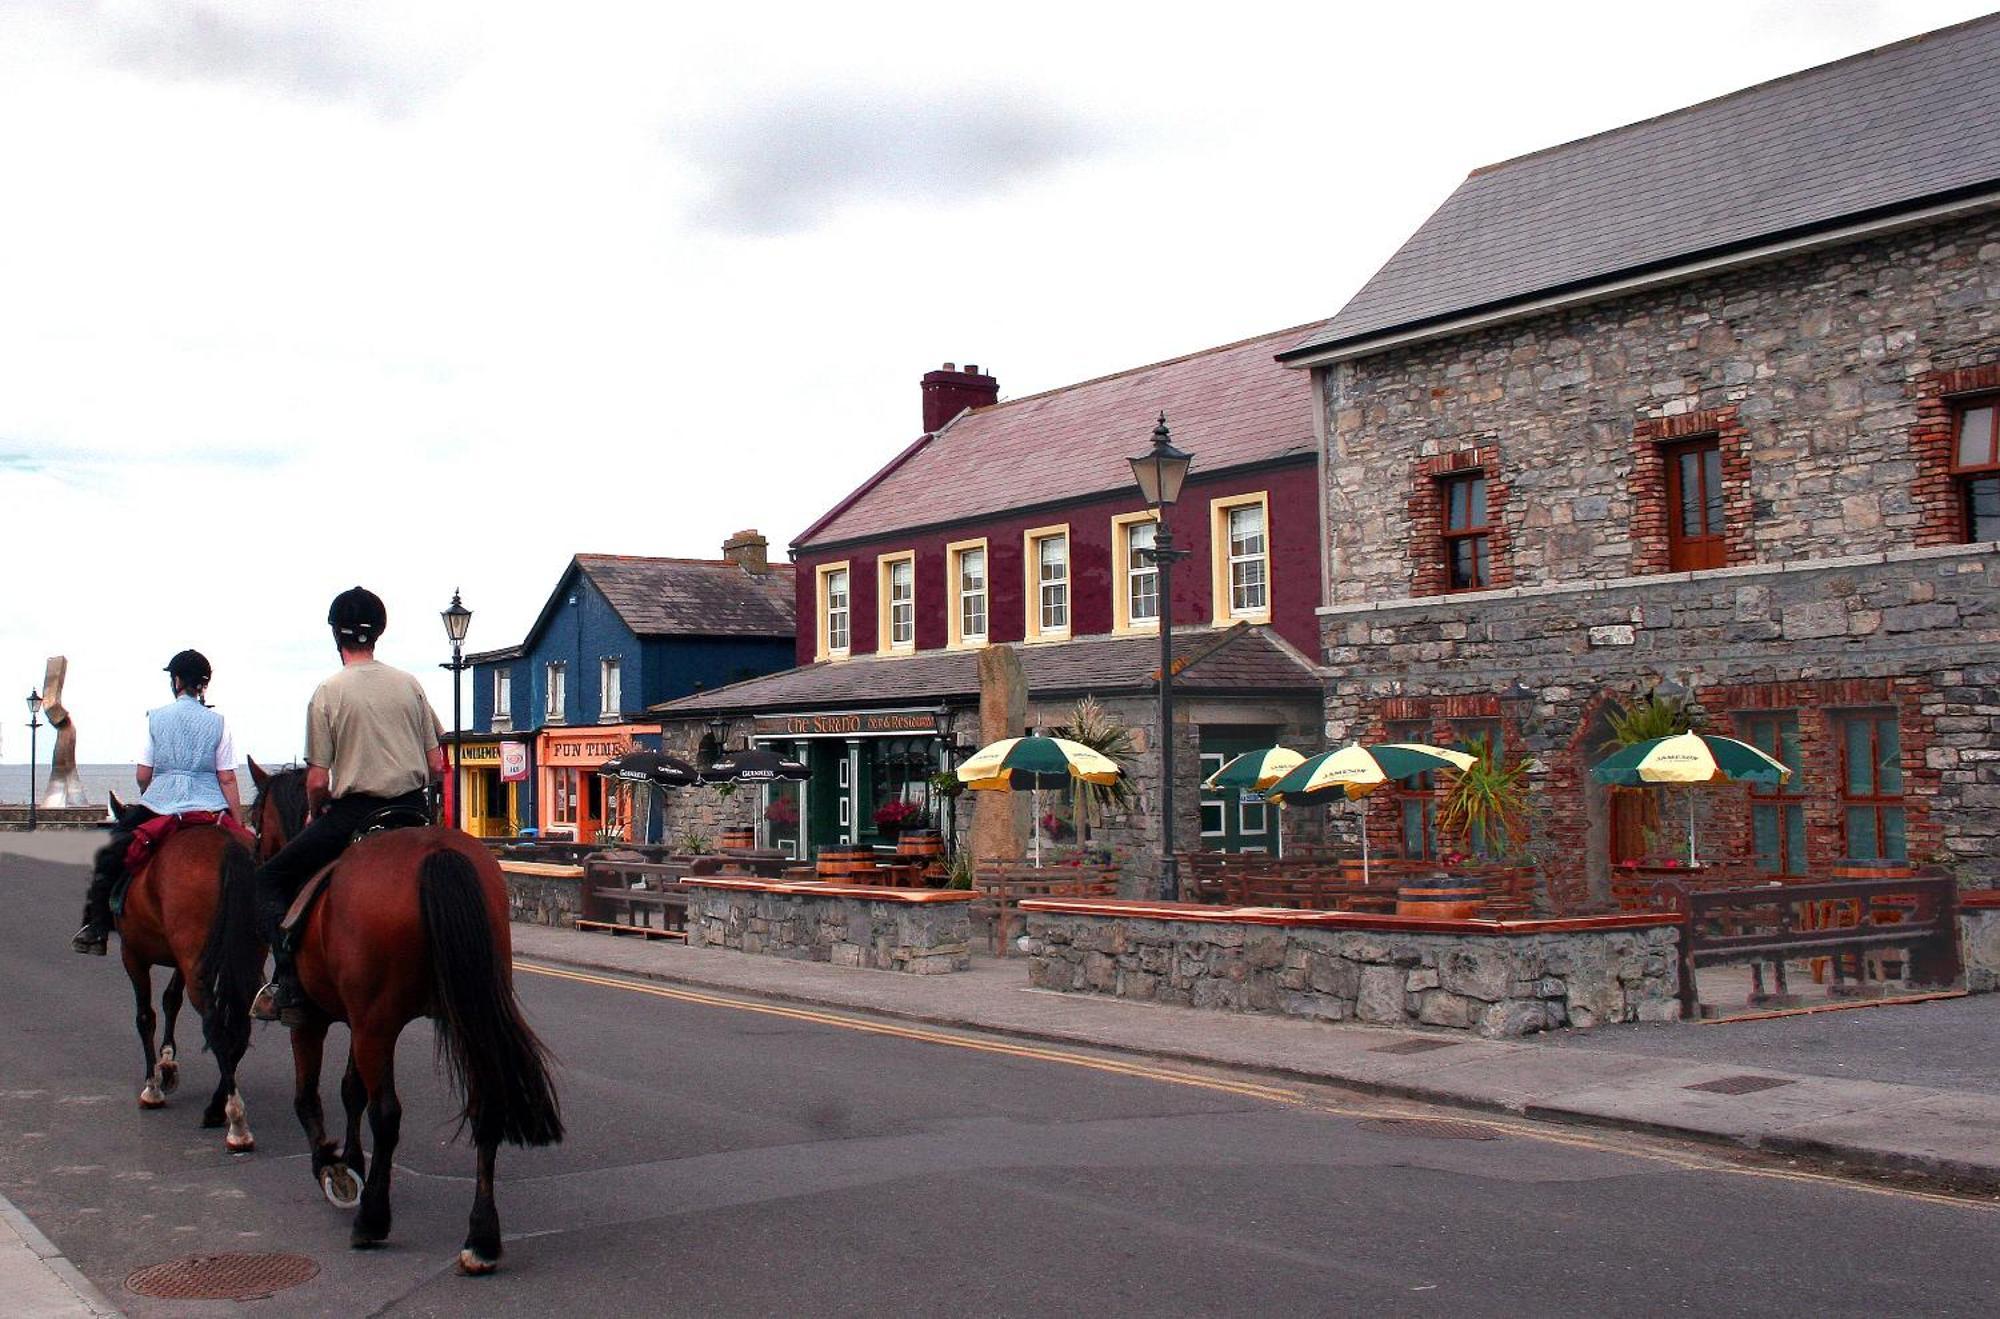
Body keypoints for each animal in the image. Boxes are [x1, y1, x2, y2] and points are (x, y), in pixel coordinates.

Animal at [102, 787, 264, 1151]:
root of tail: (229, 848)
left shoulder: (132, 954)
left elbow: (145, 1016)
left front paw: (152, 1085)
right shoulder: (181, 958)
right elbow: (170, 1000)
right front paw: (167, 1064)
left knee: (217, 1025)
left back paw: (235, 1121)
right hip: (241, 958)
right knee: (238, 1025)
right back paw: (220, 1107)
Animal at [250, 755, 568, 1271]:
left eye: (256, 819)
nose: (255, 852)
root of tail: (436, 853)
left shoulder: (318, 1021)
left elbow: (311, 1096)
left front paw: (333, 1169)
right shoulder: (359, 1018)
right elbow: (350, 1090)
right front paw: (352, 1162)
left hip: (378, 1023)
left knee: (387, 1114)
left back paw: (373, 1220)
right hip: (460, 1013)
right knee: (485, 1104)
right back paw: (481, 1238)